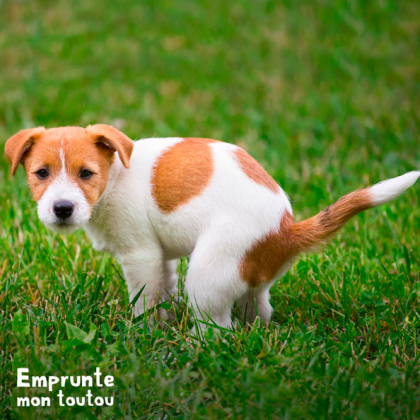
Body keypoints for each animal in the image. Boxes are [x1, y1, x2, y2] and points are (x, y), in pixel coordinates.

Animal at [4, 126, 420, 330]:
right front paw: (162, 324)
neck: (116, 175)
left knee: (219, 329)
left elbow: (145, 300)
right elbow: (164, 289)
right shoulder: (160, 257)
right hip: (247, 277)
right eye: (41, 173)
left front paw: (144, 335)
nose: (62, 209)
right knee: (258, 309)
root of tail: (286, 229)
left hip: (207, 275)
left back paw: (196, 349)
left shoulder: (140, 256)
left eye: (87, 173)